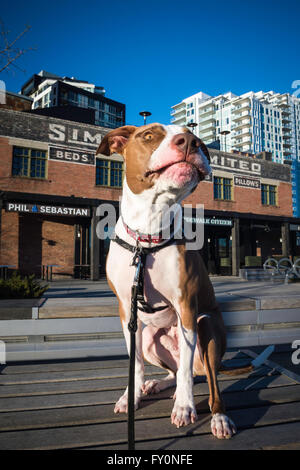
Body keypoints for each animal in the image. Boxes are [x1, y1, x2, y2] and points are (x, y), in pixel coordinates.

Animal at [97, 123, 238, 438]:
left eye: (197, 139)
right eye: (149, 135)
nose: (190, 141)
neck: (147, 235)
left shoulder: (186, 306)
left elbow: (185, 370)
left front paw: (184, 407)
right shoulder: (126, 312)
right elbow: (135, 362)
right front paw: (132, 396)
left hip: (206, 327)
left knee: (206, 380)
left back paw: (219, 417)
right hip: (151, 336)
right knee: (174, 370)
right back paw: (157, 384)